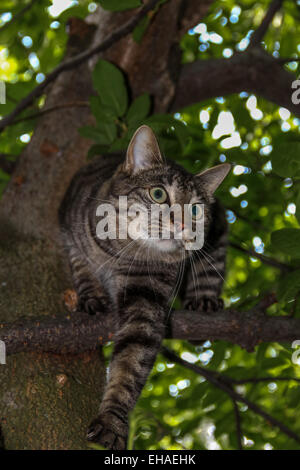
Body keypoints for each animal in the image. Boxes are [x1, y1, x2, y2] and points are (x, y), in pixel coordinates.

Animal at [59, 126, 231, 452]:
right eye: (159, 194)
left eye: (196, 210)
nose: (183, 225)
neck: (120, 252)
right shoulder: (67, 231)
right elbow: (79, 263)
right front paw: (92, 295)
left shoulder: (146, 298)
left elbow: (130, 364)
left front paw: (111, 421)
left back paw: (203, 300)